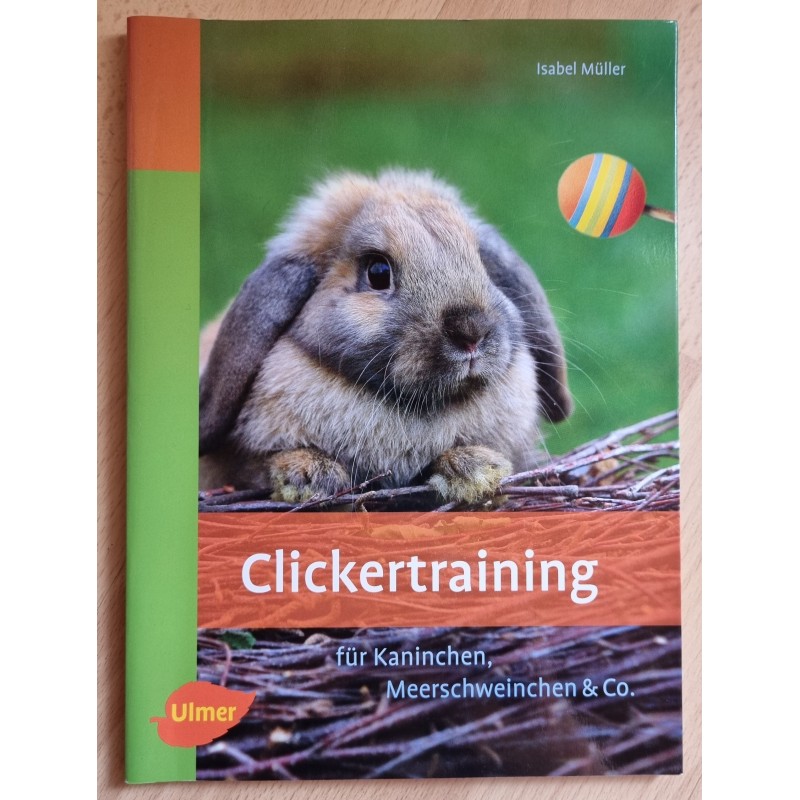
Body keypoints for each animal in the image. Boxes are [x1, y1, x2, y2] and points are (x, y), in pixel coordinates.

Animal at [199, 169, 572, 504]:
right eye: (378, 272)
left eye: (481, 261)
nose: (471, 331)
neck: (416, 408)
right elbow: (261, 465)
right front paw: (308, 476)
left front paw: (476, 470)